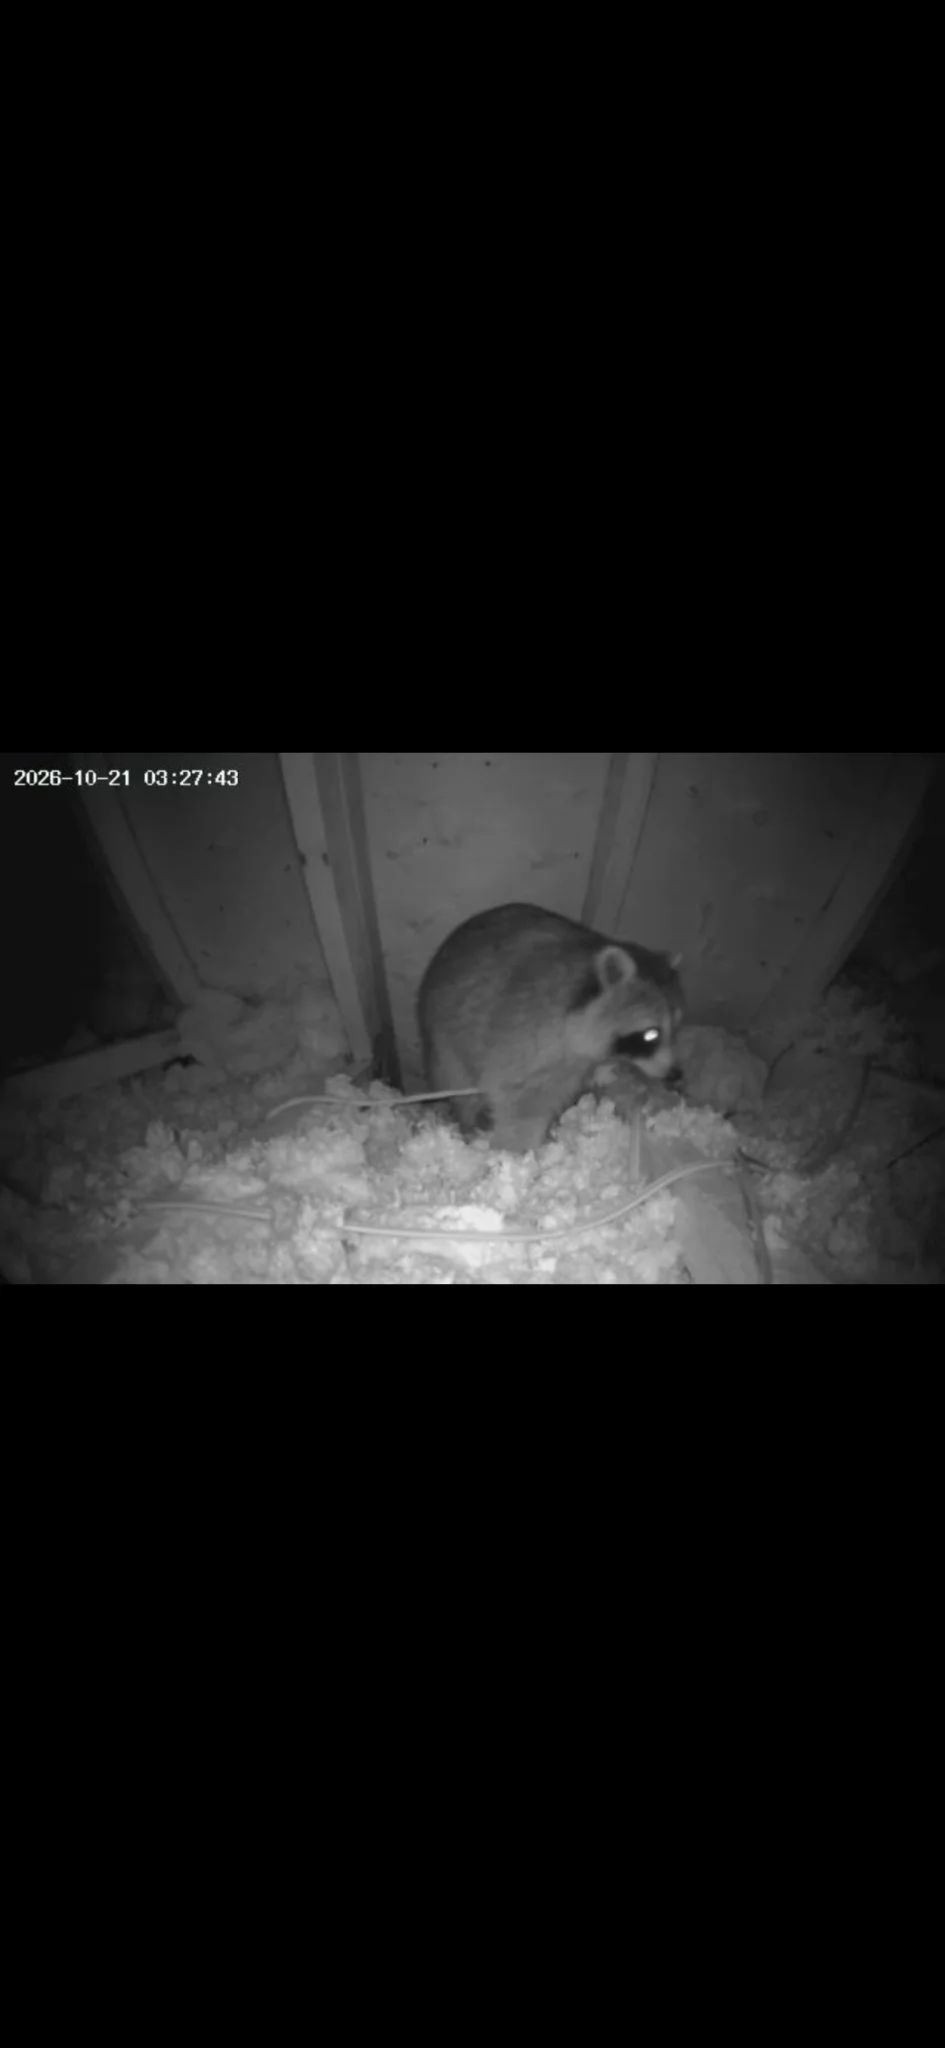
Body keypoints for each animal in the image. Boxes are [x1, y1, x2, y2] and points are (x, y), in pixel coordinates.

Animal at [417, 902, 683, 1155]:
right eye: (651, 1035)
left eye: (676, 1027)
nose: (675, 1075)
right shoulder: (527, 1042)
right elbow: (521, 1105)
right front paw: (515, 1152)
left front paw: (603, 1069)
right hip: (446, 1050)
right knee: (461, 1089)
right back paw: (468, 1121)